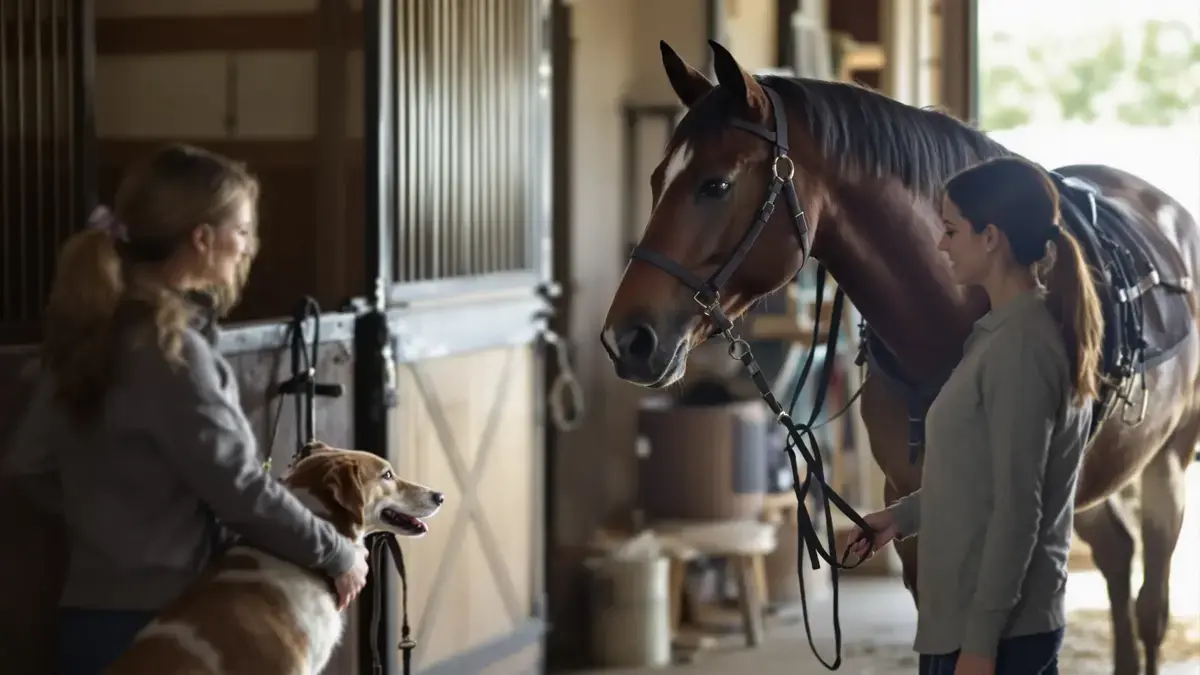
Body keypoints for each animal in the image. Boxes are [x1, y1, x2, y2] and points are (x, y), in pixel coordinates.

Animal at [601, 40, 1199, 675]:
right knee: (1117, 555)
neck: (949, 324)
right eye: (658, 178)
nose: (625, 339)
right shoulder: (912, 512)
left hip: (1166, 464)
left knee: (1151, 602)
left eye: (714, 185)